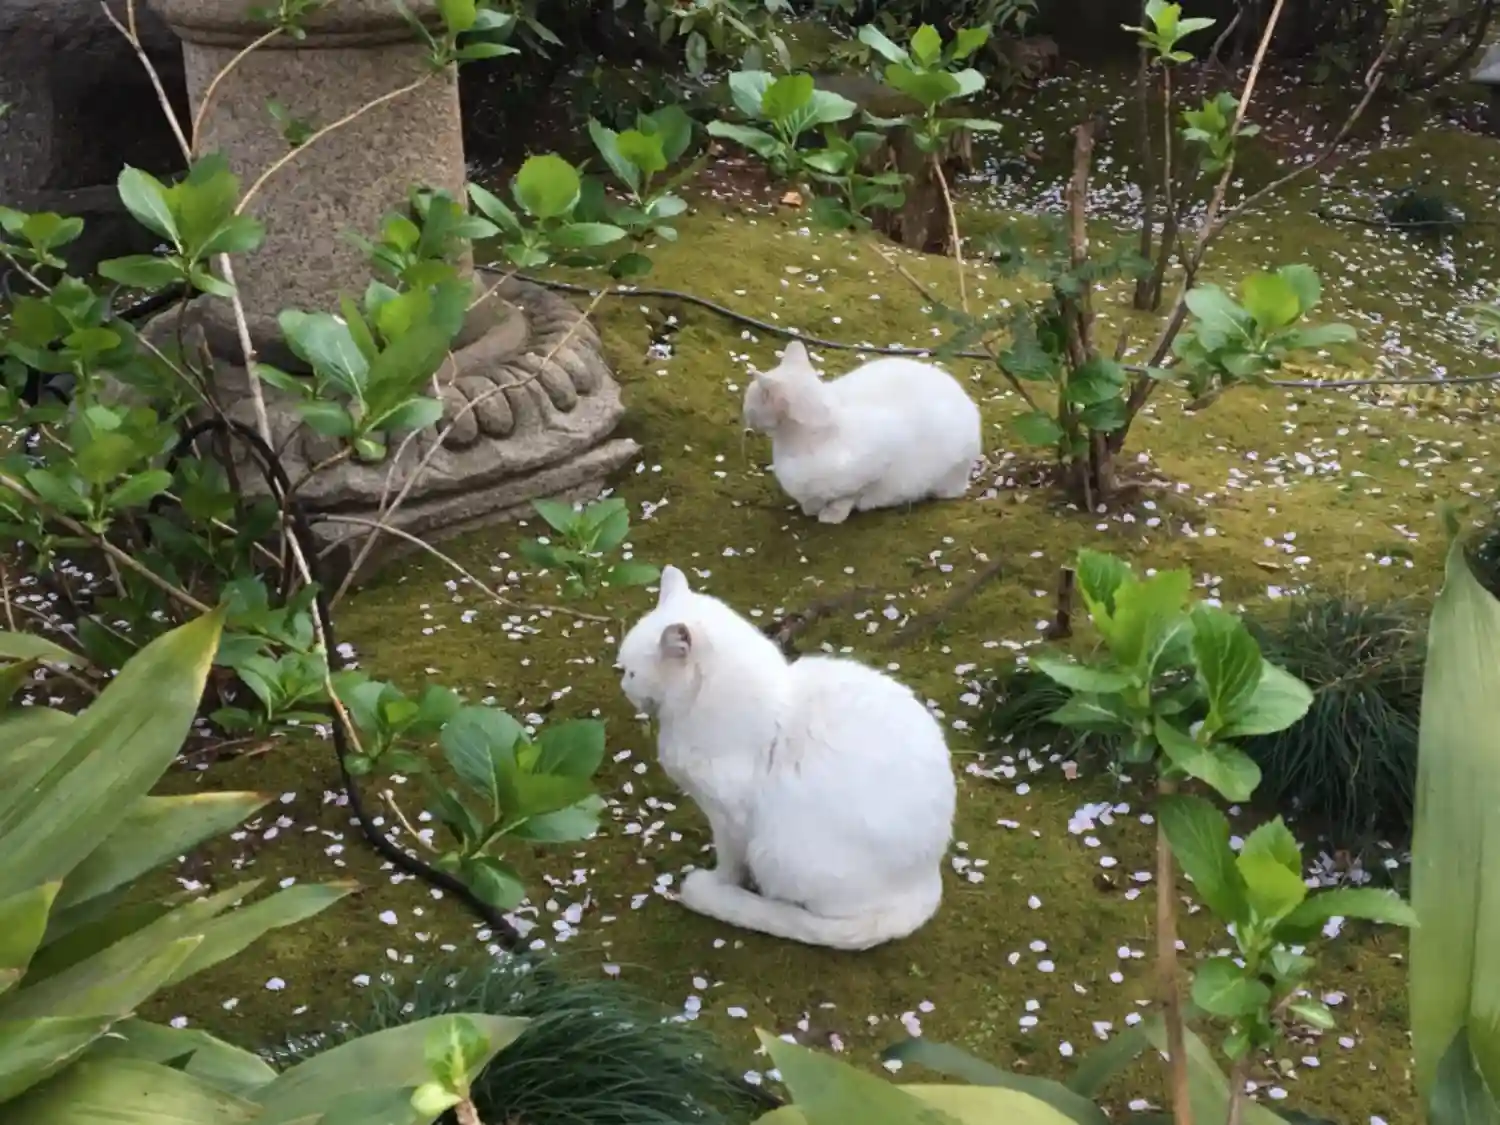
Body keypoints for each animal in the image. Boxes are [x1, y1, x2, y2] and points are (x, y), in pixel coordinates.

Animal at [616, 565, 957, 951]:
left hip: (779, 853)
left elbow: (729, 862)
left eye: (630, 672)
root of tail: (927, 880)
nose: (623, 685)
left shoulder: (728, 816)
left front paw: (721, 884)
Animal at [742, 340, 983, 525]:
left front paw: (831, 514)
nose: (744, 412)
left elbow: (848, 496)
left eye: (749, 400)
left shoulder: (880, 457)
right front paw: (811, 507)